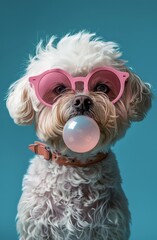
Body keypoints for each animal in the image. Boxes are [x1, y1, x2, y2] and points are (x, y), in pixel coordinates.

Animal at [6, 32, 152, 240]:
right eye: (59, 89)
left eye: (102, 88)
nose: (82, 100)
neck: (76, 163)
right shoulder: (37, 228)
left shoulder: (109, 227)